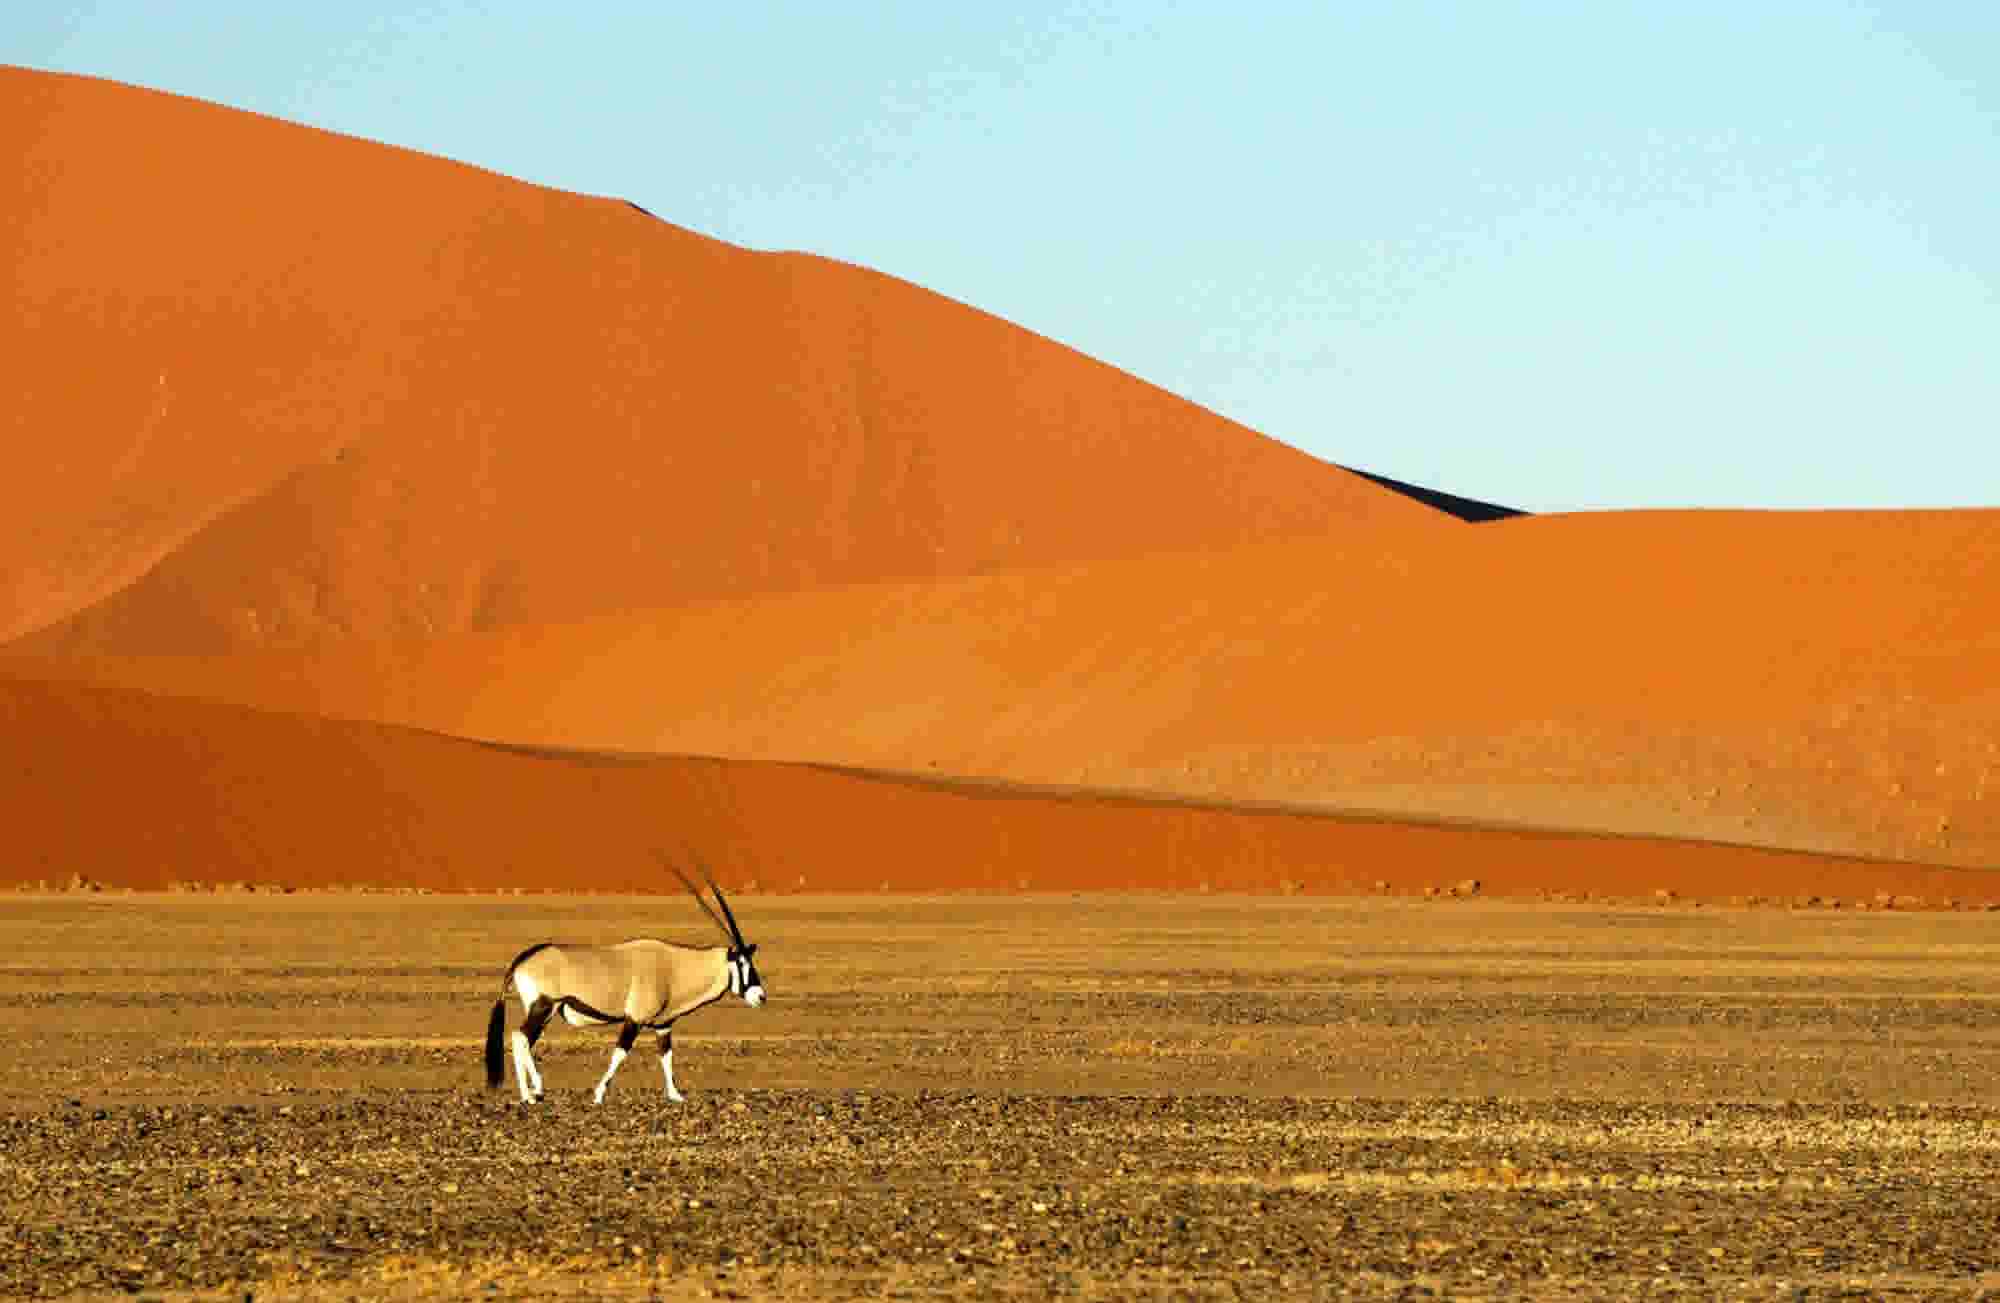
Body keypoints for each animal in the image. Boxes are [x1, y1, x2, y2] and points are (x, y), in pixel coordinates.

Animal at [484, 859, 764, 1103]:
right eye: (741, 963)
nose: (760, 996)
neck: (674, 967)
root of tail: (524, 958)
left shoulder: (663, 1025)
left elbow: (666, 1056)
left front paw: (675, 1095)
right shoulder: (634, 1020)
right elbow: (619, 1054)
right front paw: (598, 1095)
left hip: (546, 1012)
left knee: (524, 1040)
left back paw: (531, 1092)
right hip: (544, 1006)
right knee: (520, 1037)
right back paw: (532, 1093)